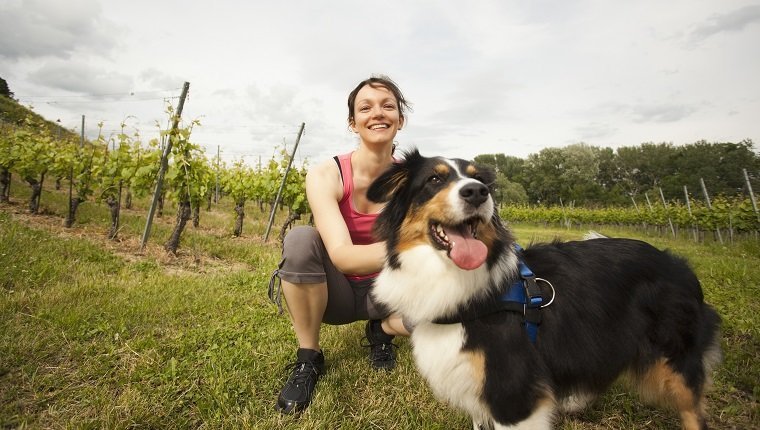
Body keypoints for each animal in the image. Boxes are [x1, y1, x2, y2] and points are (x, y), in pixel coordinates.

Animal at [366, 149, 720, 428]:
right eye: (434, 180)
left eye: (478, 180)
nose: (478, 193)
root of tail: (678, 263)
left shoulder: (514, 395)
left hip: (677, 359)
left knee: (694, 413)